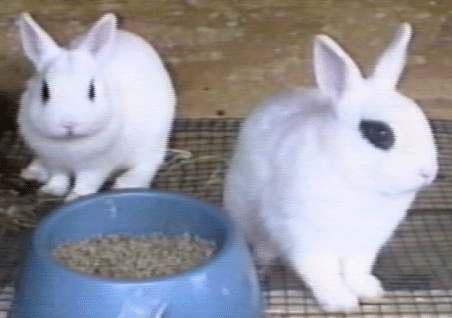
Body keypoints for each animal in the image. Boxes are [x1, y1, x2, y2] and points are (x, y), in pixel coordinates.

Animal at [16, 13, 175, 201]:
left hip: (153, 142)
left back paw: (126, 183)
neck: (70, 142)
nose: (68, 124)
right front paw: (52, 190)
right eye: (45, 91)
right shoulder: (54, 162)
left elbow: (86, 182)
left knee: (148, 164)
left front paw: (75, 197)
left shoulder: (97, 167)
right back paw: (34, 171)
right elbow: (59, 177)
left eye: (92, 91)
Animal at [224, 24, 440, 310]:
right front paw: (341, 303)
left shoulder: (366, 243)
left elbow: (356, 270)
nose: (428, 172)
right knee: (264, 245)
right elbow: (322, 273)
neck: (352, 179)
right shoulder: (305, 238)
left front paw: (369, 291)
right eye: (380, 133)